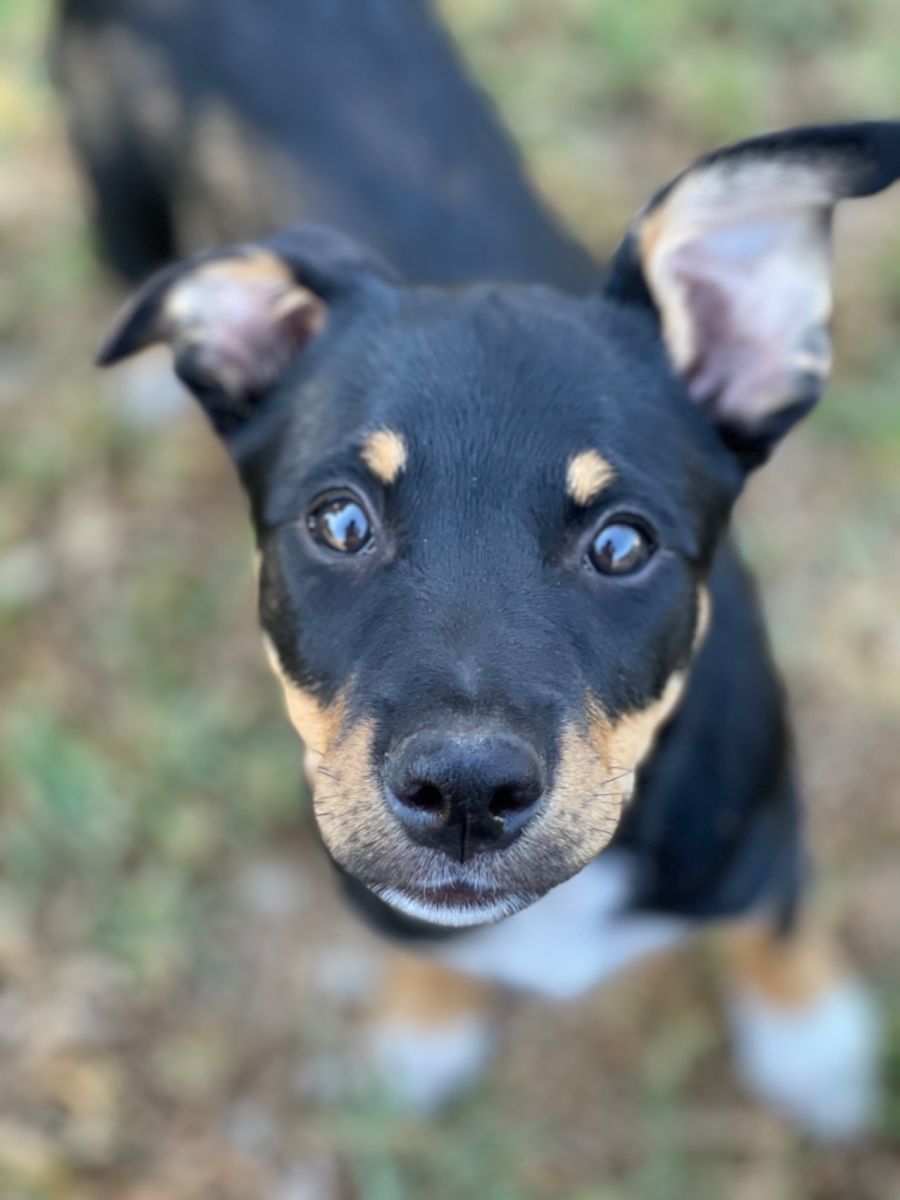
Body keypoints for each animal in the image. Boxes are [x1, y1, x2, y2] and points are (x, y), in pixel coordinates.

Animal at [58, 0, 899, 1139]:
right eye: (340, 521)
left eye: (623, 543)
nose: (464, 792)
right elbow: (415, 931)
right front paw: (422, 1029)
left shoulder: (759, 826)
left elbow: (772, 921)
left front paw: (810, 1043)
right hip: (119, 198)